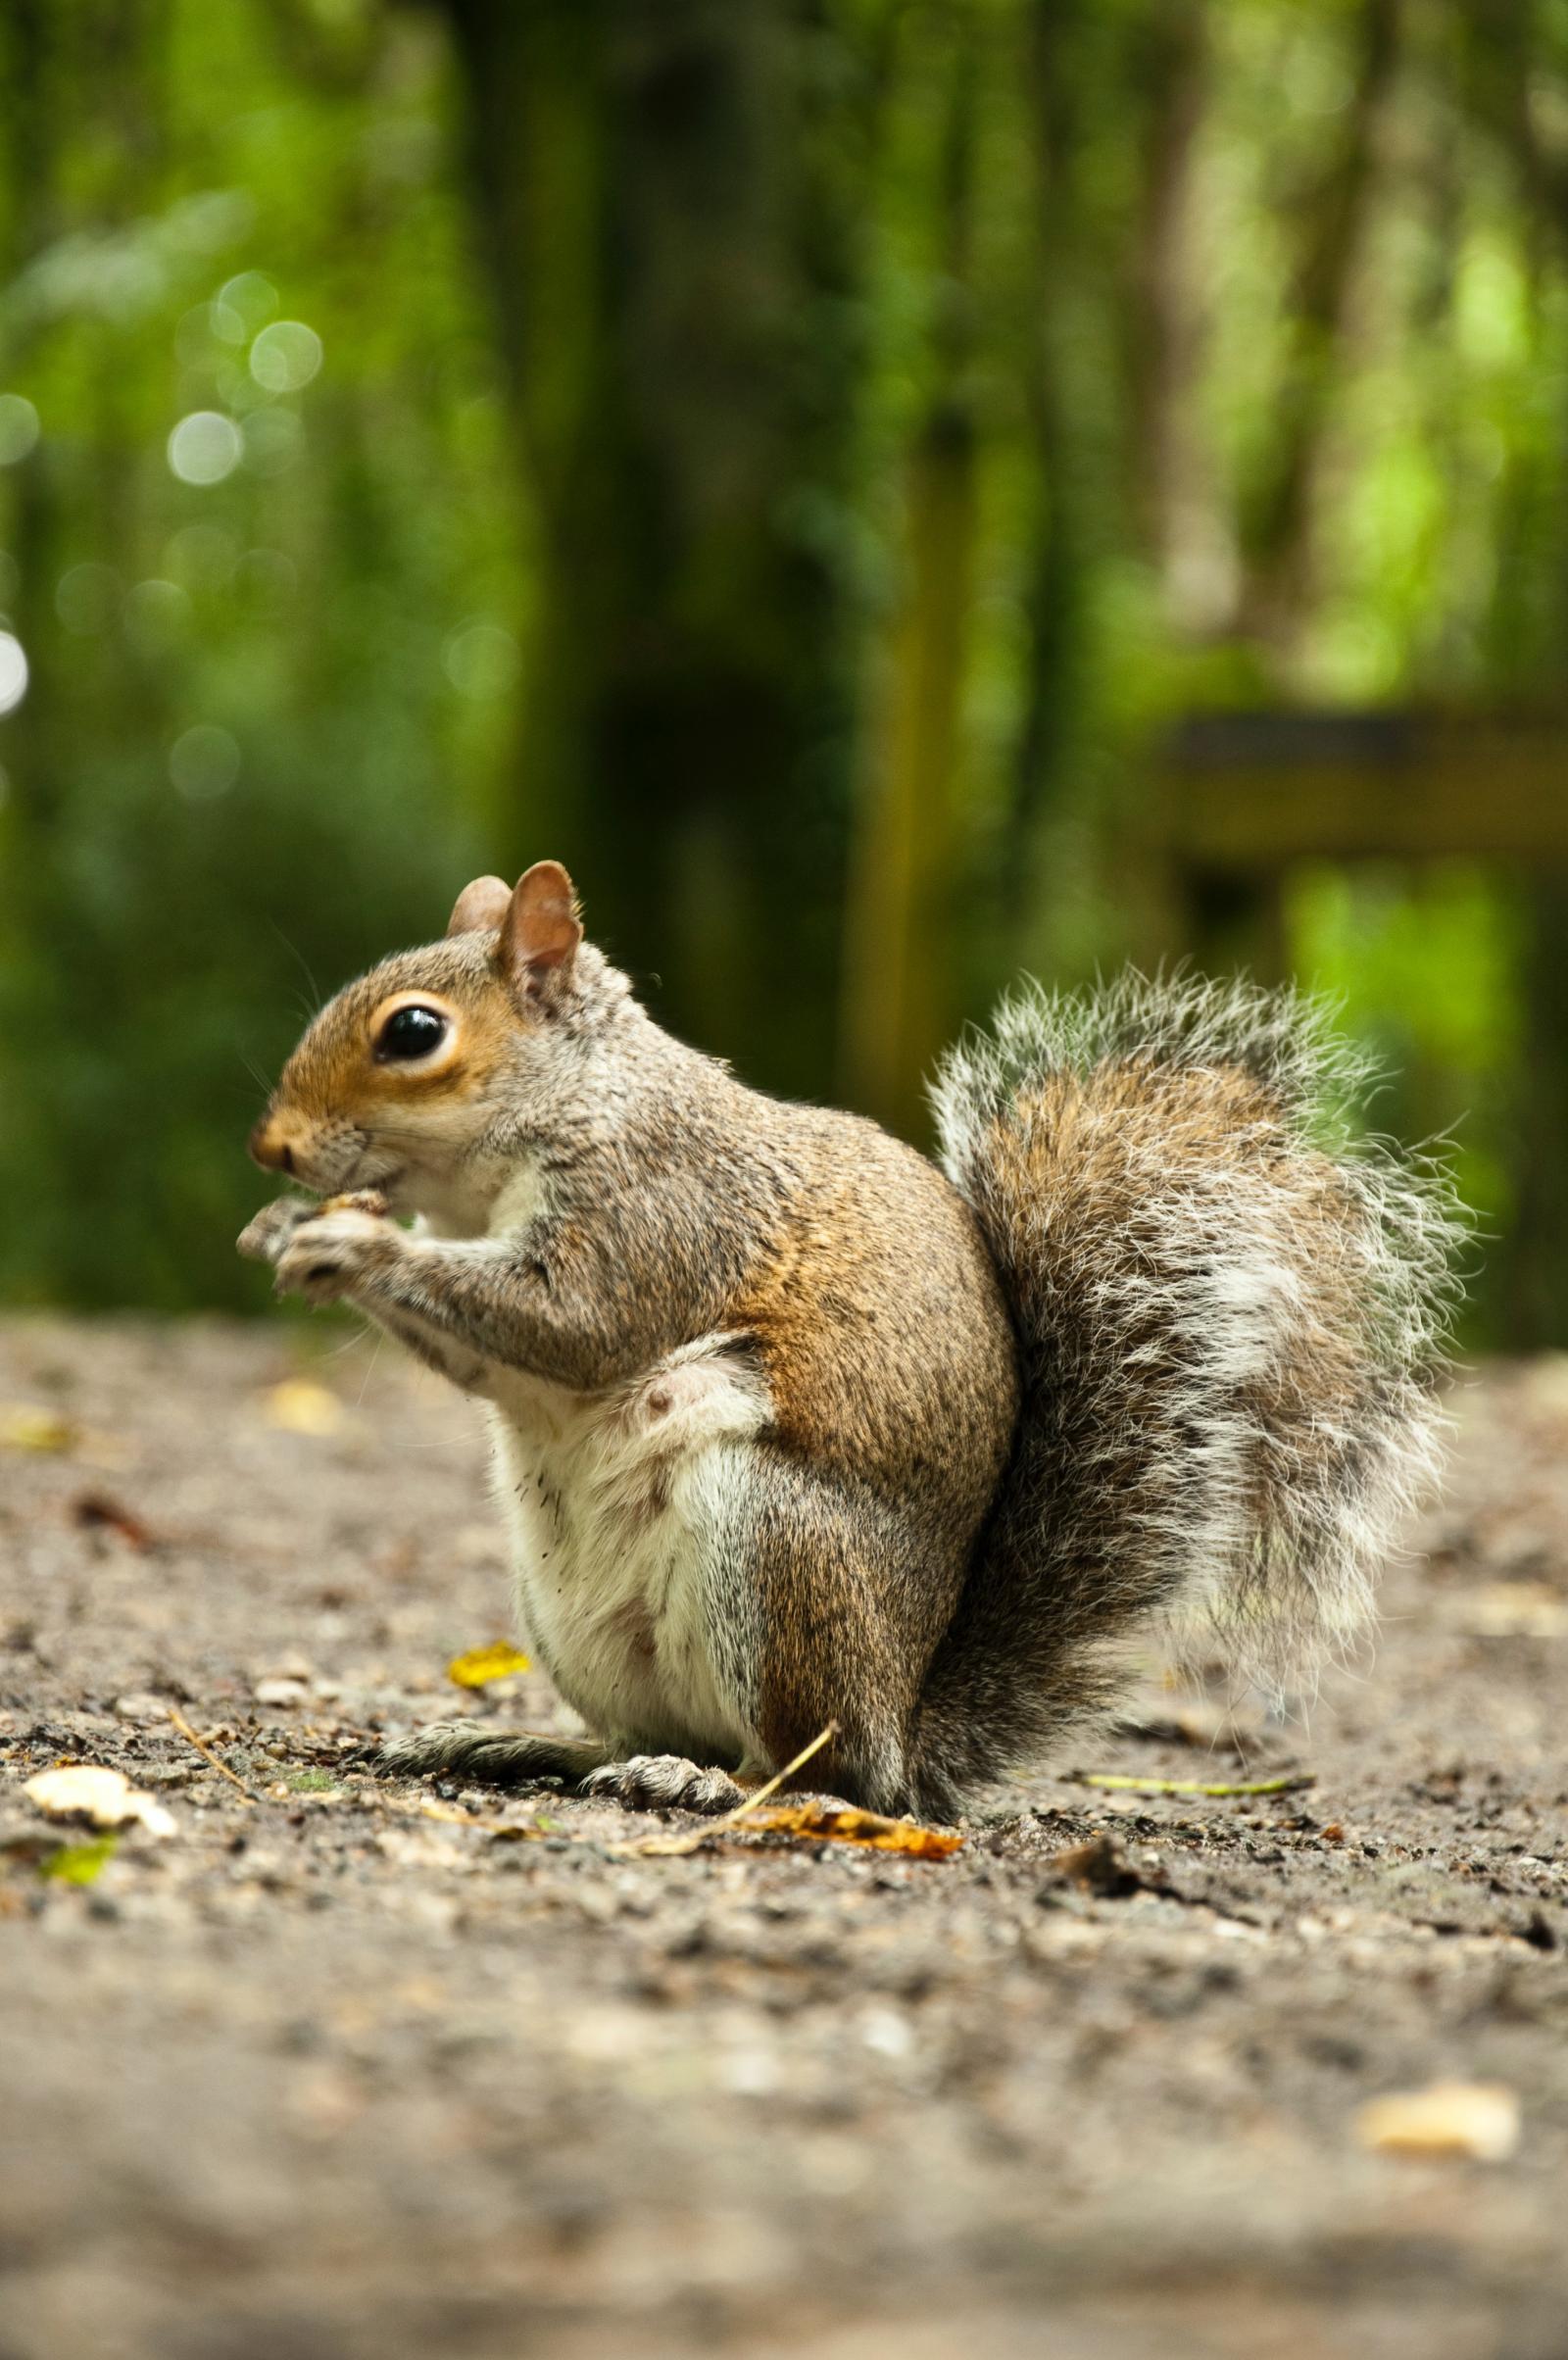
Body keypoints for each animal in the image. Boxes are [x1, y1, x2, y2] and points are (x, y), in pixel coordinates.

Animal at [239, 860, 1462, 1818]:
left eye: (413, 1032)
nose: (271, 1148)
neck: (570, 1108)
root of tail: (901, 1726)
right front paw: (289, 1230)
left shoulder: (664, 1211)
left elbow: (574, 1326)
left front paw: (351, 1244)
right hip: (571, 1617)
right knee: (650, 1731)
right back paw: (522, 1740)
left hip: (776, 1548)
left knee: (805, 1770)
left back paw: (710, 1783)